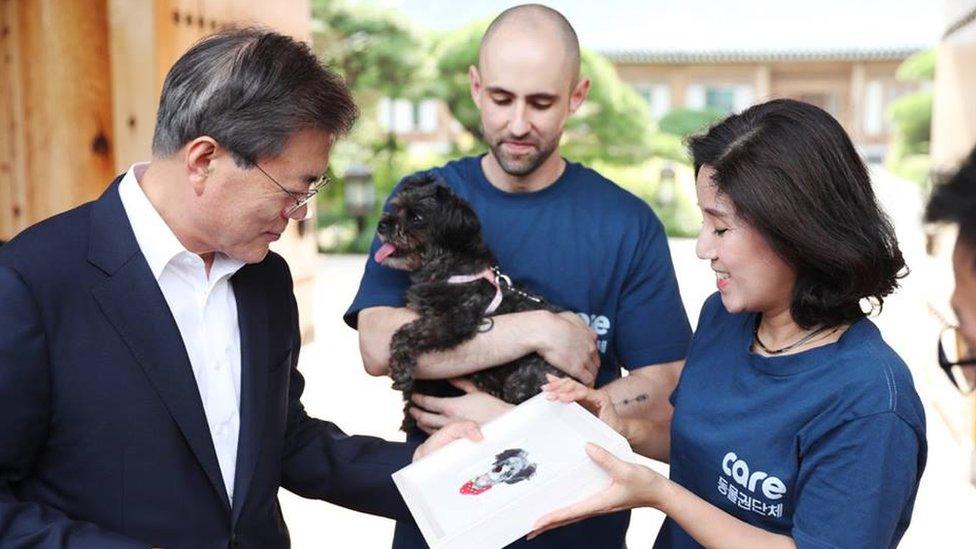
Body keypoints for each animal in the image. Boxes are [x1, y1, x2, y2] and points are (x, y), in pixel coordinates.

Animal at [376, 173, 572, 430]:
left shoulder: (455, 319)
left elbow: (404, 332)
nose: (381, 225)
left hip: (525, 380)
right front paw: (409, 412)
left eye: (416, 217)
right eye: (396, 207)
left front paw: (401, 368)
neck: (447, 268)